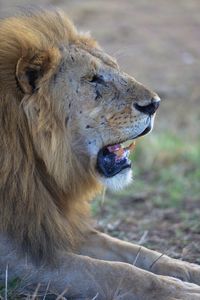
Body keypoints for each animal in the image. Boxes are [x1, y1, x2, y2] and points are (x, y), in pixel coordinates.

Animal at [0, 7, 200, 300]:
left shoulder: (53, 224)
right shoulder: (16, 258)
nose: (155, 104)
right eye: (93, 79)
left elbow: (136, 251)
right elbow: (116, 272)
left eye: (116, 69)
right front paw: (183, 291)